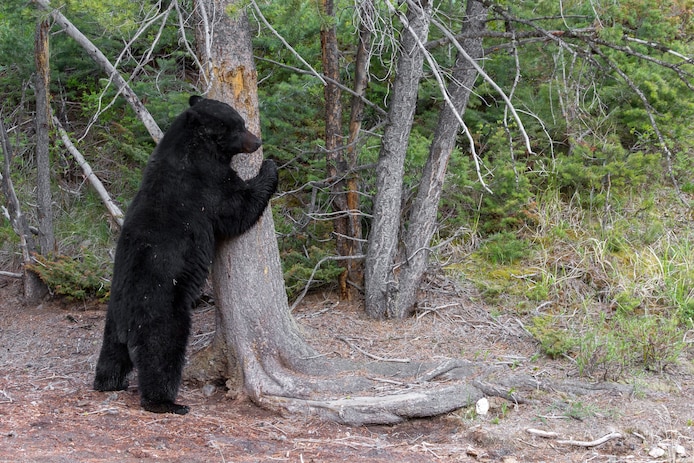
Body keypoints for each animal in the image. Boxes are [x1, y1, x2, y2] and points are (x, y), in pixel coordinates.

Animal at [94, 96, 278, 416]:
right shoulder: (206, 184)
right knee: (161, 353)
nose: (257, 142)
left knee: (111, 354)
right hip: (162, 312)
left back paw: (109, 382)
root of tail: (128, 321)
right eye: (238, 126)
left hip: (112, 321)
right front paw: (269, 168)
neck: (191, 148)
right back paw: (167, 402)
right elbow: (236, 208)